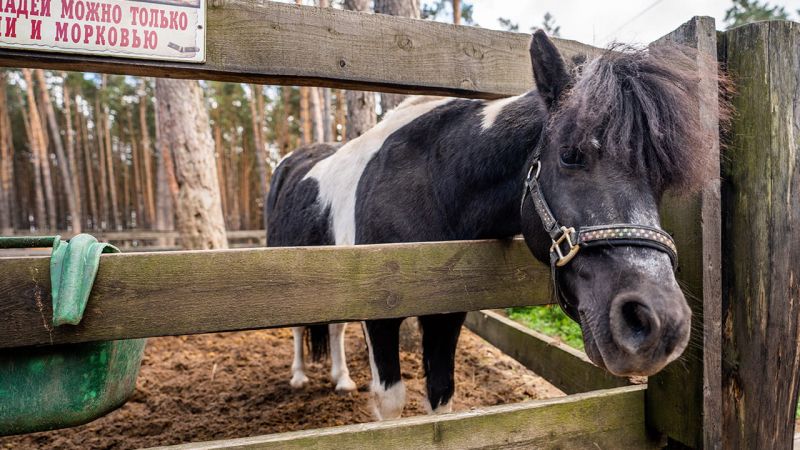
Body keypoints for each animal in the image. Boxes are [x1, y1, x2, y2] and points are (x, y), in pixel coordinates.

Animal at [268, 30, 712, 418]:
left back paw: (342, 380)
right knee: (298, 330)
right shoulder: (378, 314)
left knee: (335, 329)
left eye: (661, 179)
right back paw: (299, 376)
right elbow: (391, 404)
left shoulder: (446, 313)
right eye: (570, 155)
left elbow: (440, 399)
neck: (430, 185)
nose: (661, 325)